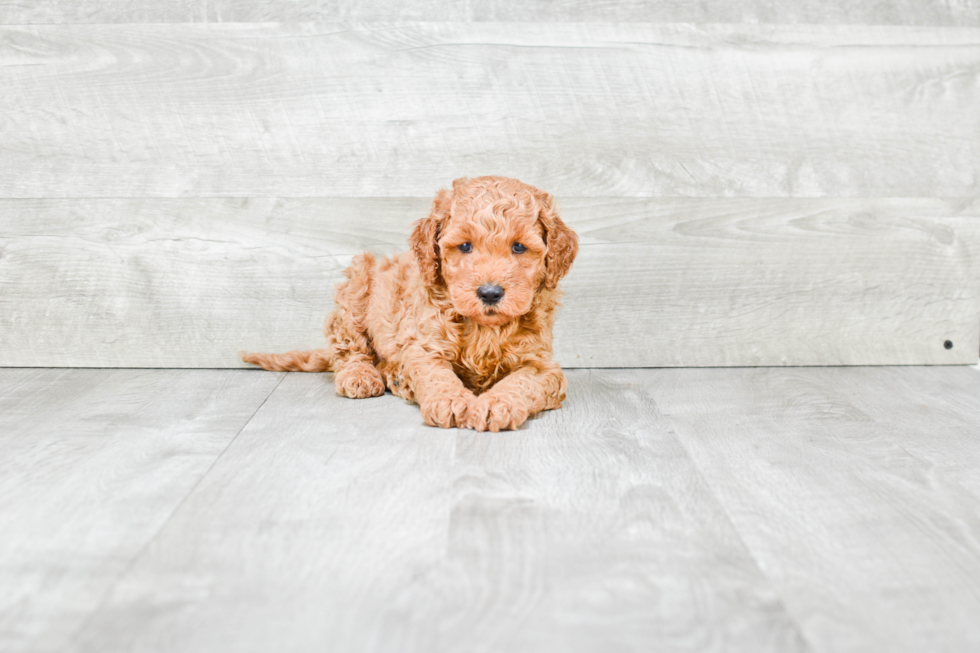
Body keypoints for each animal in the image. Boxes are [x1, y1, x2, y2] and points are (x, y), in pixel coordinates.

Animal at [242, 174, 580, 428]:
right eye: (465, 246)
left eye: (519, 247)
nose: (489, 292)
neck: (484, 329)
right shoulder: (425, 346)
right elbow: (437, 374)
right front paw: (451, 401)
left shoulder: (542, 364)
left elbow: (523, 381)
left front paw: (496, 404)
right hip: (357, 285)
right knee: (349, 349)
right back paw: (362, 376)